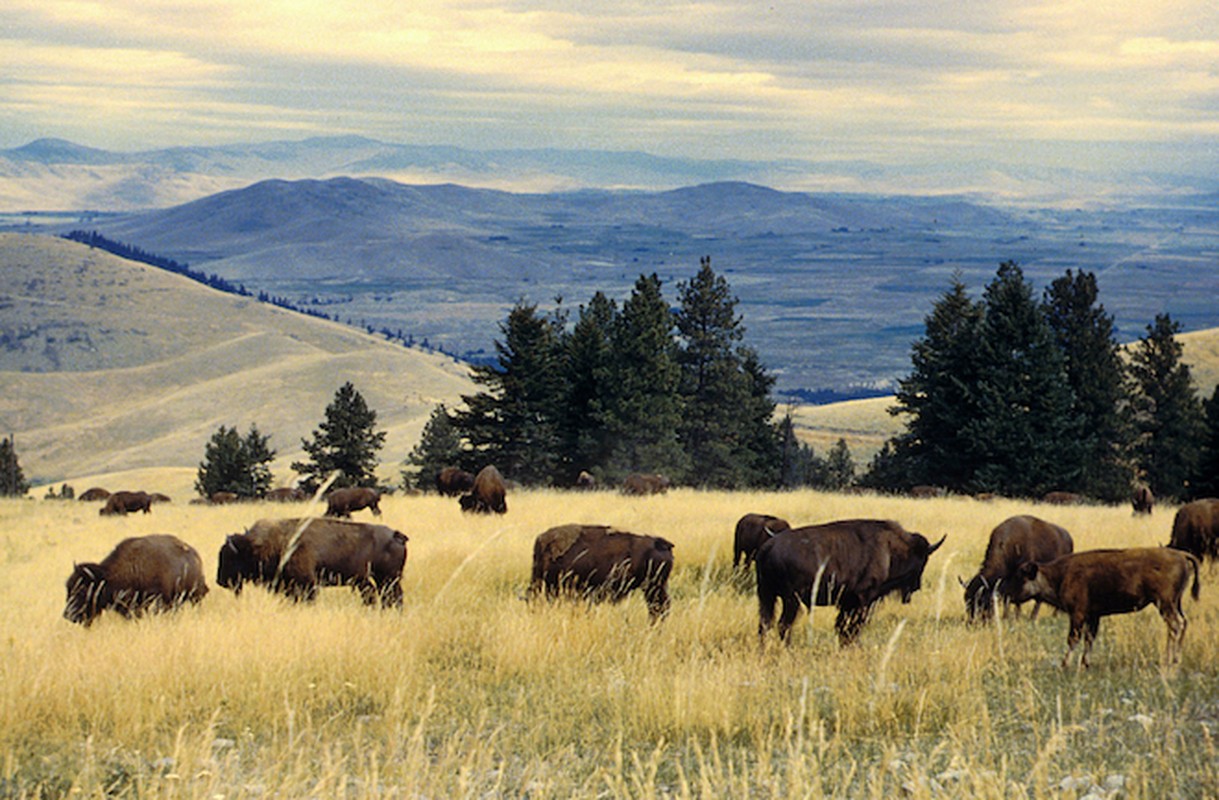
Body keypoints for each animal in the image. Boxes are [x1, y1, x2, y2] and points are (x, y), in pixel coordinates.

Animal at [216, 519, 407, 607]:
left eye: (230, 557)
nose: (220, 581)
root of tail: (396, 535)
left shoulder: (307, 585)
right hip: (377, 580)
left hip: (387, 578)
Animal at [755, 521, 945, 648]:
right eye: (922, 560)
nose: (916, 586)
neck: (890, 549)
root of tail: (768, 547)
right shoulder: (863, 600)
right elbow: (853, 627)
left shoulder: (847, 603)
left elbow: (842, 627)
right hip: (790, 600)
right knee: (783, 625)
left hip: (766, 597)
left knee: (765, 624)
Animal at [1009, 543, 1199, 668]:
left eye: (1021, 577)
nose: (1009, 595)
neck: (1061, 574)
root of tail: (1181, 555)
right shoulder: (1093, 616)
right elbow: (1089, 639)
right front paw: (1085, 664)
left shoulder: (1078, 615)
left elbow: (1073, 638)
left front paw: (1065, 664)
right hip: (1175, 603)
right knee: (1183, 622)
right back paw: (1174, 659)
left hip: (1165, 604)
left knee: (1175, 625)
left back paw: (1170, 659)